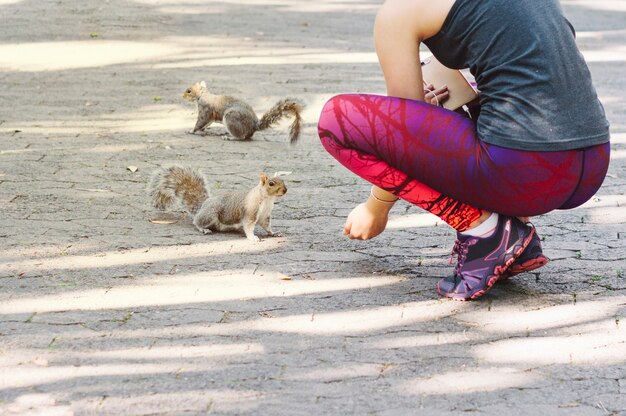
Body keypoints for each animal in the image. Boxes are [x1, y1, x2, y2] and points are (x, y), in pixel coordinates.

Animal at [147, 165, 286, 242]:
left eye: (283, 180)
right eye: (271, 183)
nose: (285, 190)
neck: (268, 199)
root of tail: (202, 206)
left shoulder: (264, 216)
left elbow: (267, 226)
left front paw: (274, 233)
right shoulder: (250, 212)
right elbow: (248, 226)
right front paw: (253, 238)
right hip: (210, 213)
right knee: (196, 222)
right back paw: (203, 229)